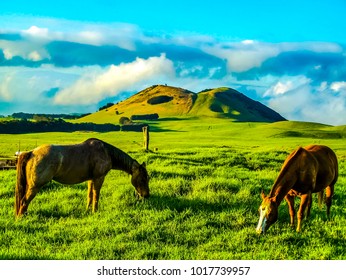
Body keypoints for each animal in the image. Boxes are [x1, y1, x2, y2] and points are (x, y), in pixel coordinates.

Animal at [15, 138, 150, 217]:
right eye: (143, 178)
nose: (146, 195)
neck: (106, 152)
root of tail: (32, 152)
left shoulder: (91, 179)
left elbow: (89, 195)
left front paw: (88, 210)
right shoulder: (99, 178)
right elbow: (96, 195)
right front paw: (95, 211)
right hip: (35, 186)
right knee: (24, 201)